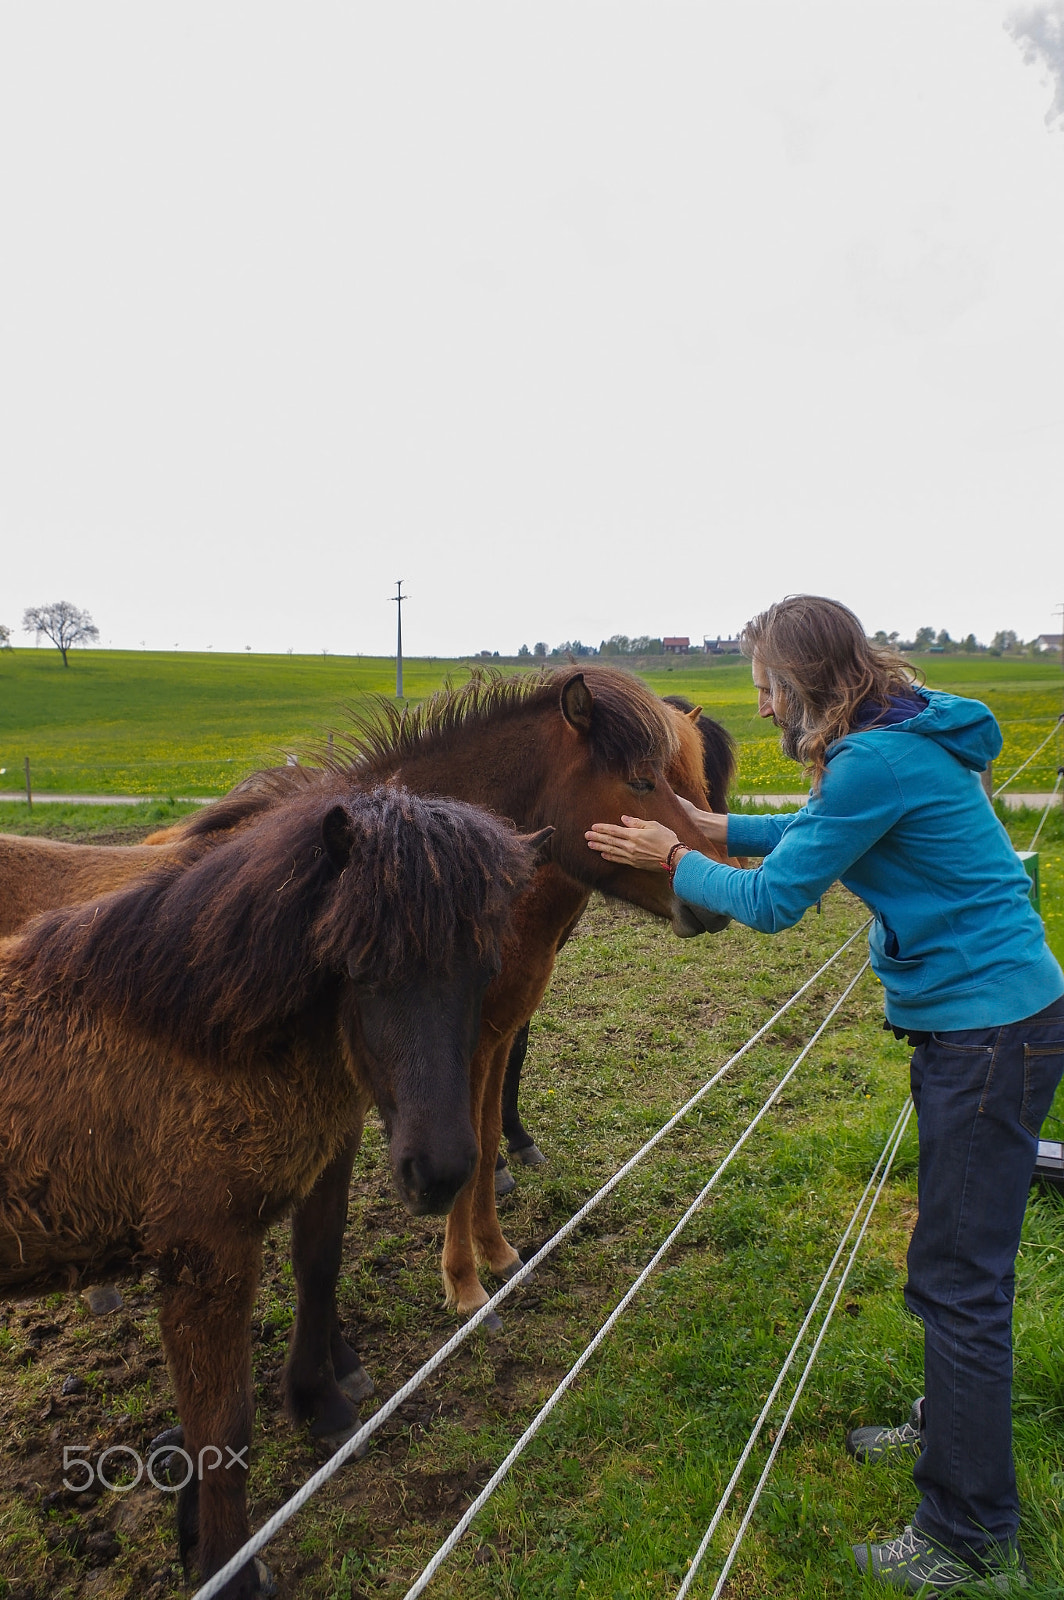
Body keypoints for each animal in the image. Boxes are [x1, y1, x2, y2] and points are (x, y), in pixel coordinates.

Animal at [0, 786, 545, 1599]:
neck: (188, 1035)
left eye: (483, 969)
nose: (442, 1170)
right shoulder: (205, 1263)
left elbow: (312, 1274)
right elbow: (223, 1427)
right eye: (363, 967)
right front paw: (232, 1570)